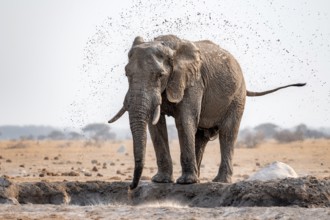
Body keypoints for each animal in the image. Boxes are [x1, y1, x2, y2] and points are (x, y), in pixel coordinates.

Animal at [109, 34, 306, 189]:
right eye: (126, 74)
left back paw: (218, 181)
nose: (131, 187)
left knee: (227, 133)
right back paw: (198, 177)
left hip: (237, 97)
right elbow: (156, 126)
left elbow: (185, 120)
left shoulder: (193, 81)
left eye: (160, 75)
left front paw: (185, 183)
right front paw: (161, 181)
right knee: (201, 136)